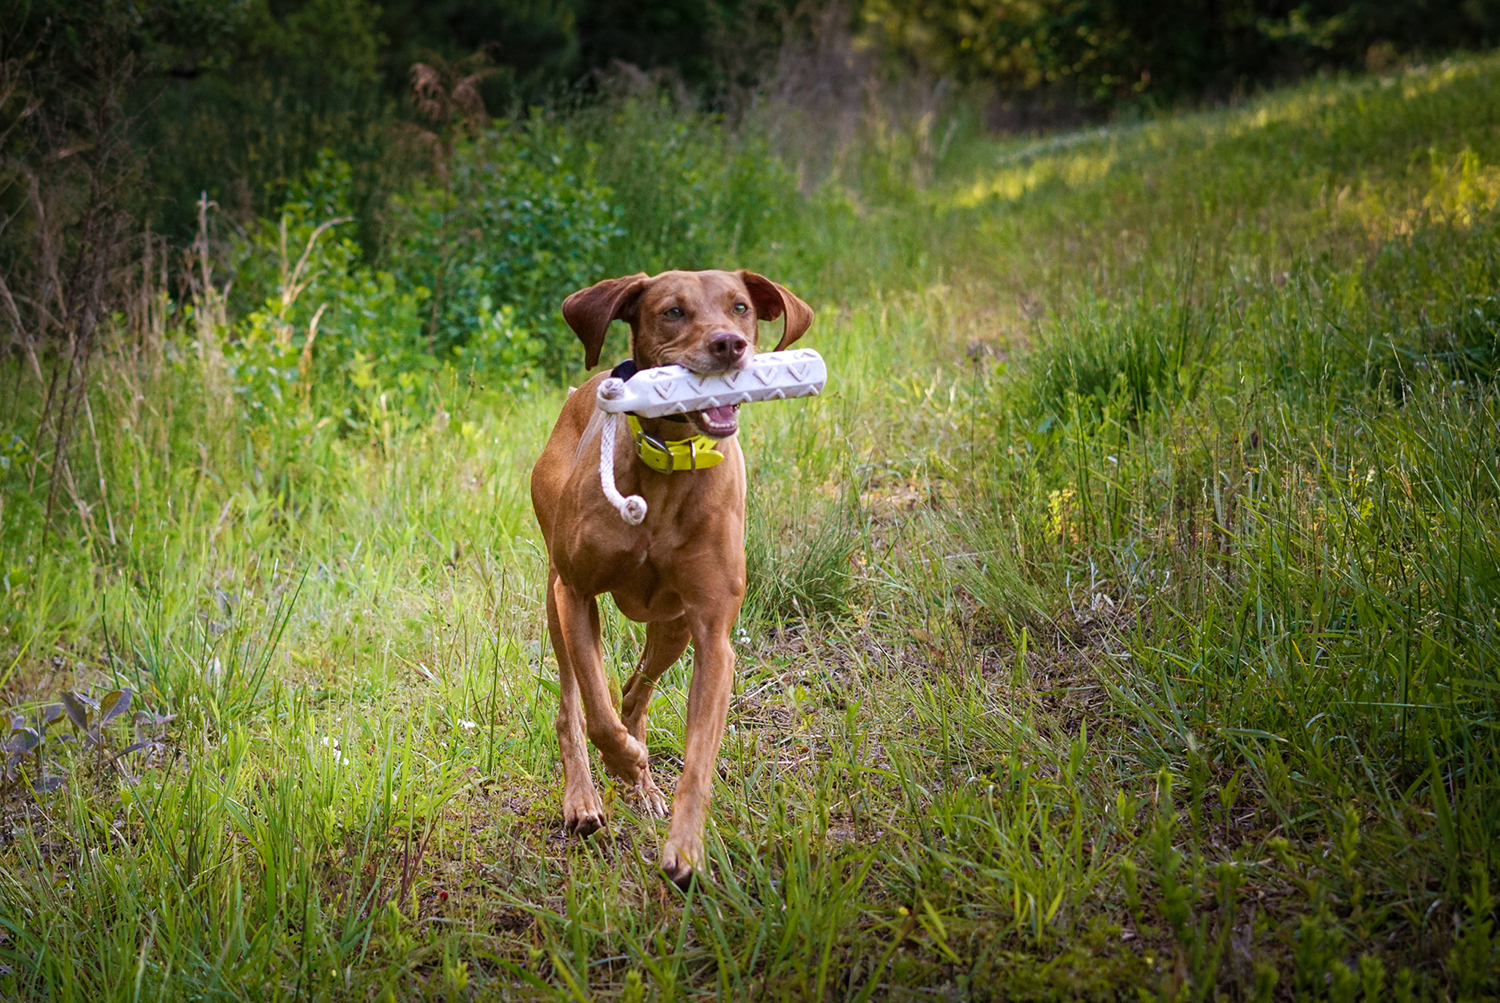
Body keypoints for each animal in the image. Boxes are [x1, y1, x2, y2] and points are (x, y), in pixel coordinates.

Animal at [534, 268, 816, 881]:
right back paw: (585, 798)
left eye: (740, 307)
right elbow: (596, 713)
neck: (669, 466)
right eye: (672, 311)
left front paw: (685, 848)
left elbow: (698, 756)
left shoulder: (712, 633)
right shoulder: (576, 595)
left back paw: (643, 789)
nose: (729, 345)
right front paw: (625, 761)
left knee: (635, 690)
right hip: (554, 596)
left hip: (673, 626)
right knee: (573, 705)